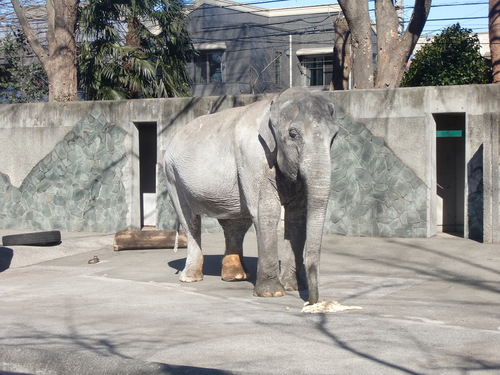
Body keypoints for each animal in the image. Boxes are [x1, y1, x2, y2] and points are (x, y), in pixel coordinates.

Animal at [164, 88, 340, 306]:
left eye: (334, 135)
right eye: (293, 134)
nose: (312, 301)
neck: (273, 104)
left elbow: (297, 217)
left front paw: (293, 287)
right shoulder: (254, 157)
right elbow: (267, 212)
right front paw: (272, 293)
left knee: (236, 224)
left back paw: (236, 277)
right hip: (172, 175)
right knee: (190, 220)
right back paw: (191, 278)